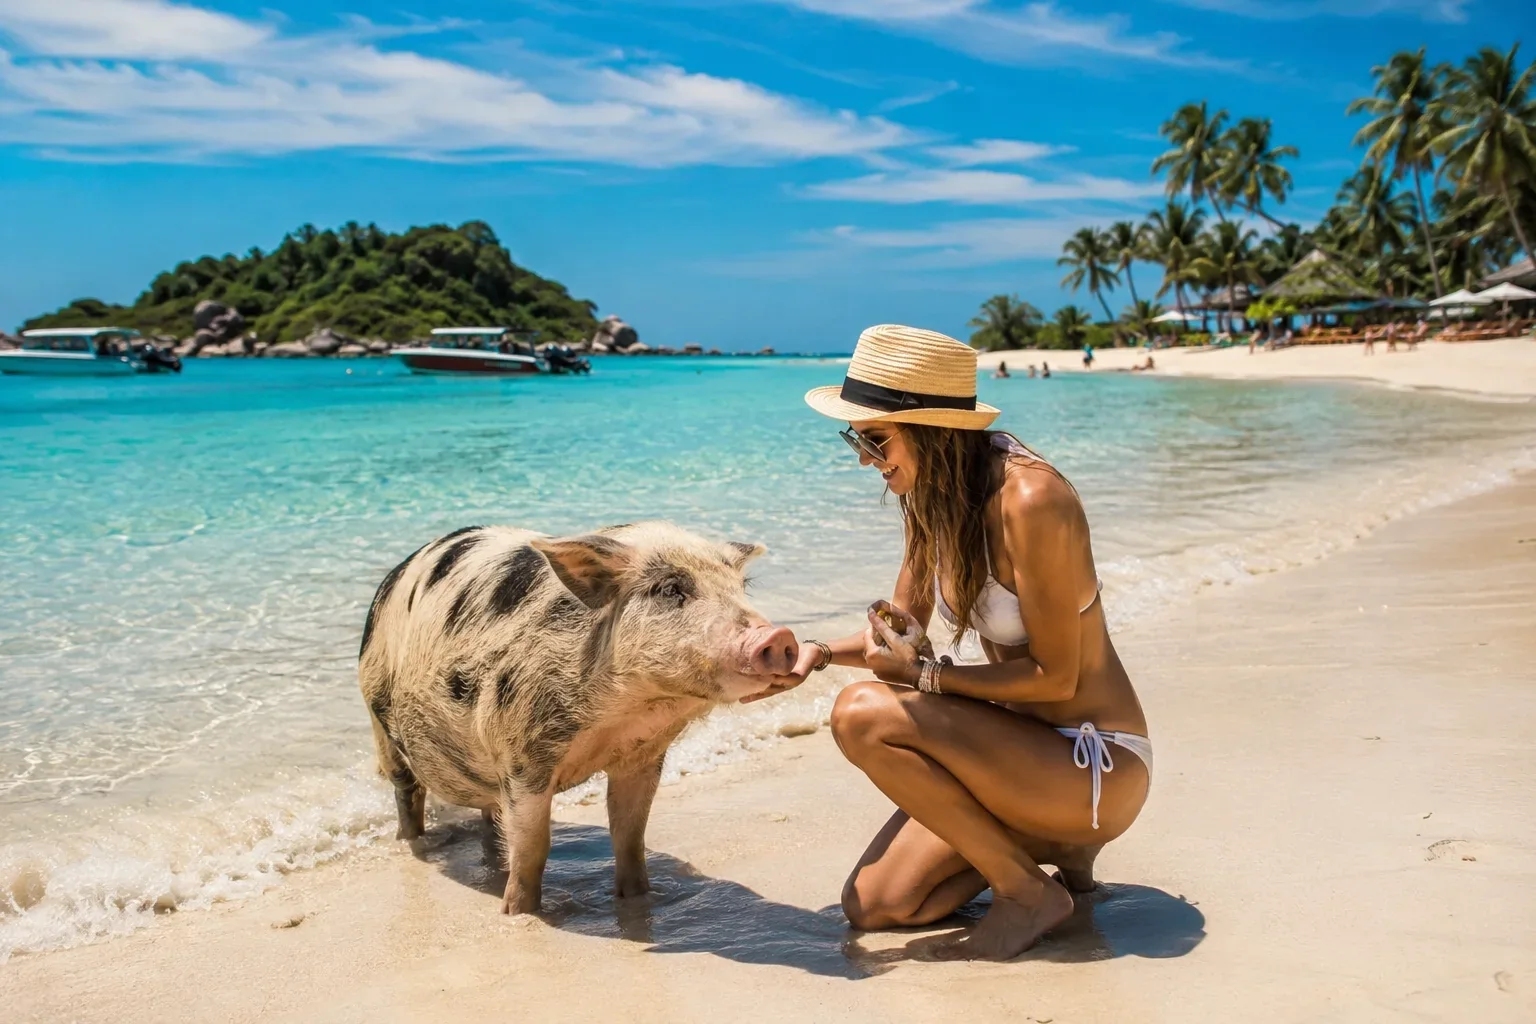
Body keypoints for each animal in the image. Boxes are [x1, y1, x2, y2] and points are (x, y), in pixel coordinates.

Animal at [357, 521, 798, 914]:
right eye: (671, 589)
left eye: (740, 588)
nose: (779, 637)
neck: (623, 715)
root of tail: (394, 575)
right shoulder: (522, 754)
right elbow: (534, 847)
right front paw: (518, 913)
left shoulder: (643, 756)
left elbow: (630, 834)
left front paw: (639, 897)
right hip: (380, 722)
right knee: (407, 793)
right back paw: (414, 844)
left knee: (490, 811)